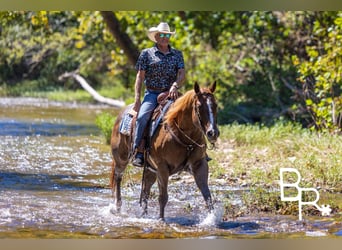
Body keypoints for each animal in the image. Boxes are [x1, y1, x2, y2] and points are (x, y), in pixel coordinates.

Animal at [111, 81, 220, 220]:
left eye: (215, 105)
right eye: (199, 106)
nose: (213, 133)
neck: (180, 133)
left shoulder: (200, 164)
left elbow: (207, 195)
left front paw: (212, 219)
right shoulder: (162, 167)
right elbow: (163, 197)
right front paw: (161, 219)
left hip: (150, 168)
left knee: (145, 189)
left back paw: (144, 214)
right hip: (121, 159)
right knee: (118, 177)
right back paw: (118, 207)